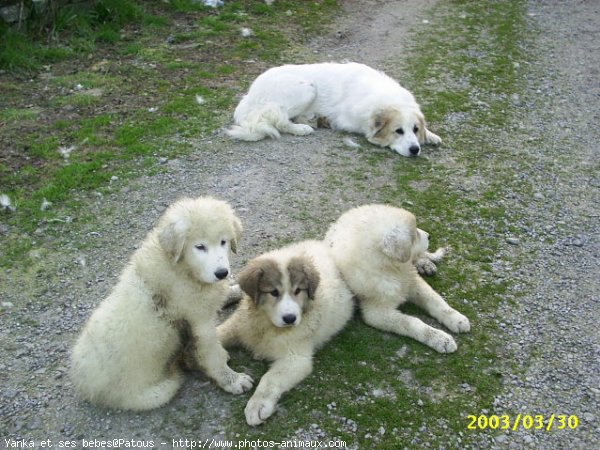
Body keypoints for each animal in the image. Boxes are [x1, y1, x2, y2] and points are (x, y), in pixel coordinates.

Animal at [69, 197, 253, 412]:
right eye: (200, 246)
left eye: (223, 241)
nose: (222, 273)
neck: (182, 268)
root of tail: (85, 387)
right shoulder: (199, 321)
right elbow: (211, 353)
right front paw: (232, 380)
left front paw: (237, 289)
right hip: (149, 395)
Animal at [217, 239, 354, 426]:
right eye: (274, 292)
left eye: (298, 291)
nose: (290, 318)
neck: (268, 324)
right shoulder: (240, 324)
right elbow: (216, 336)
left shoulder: (295, 358)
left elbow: (270, 378)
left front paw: (257, 405)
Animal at [225, 61, 440, 156]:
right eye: (398, 131)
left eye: (415, 129)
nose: (415, 149)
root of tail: (249, 94)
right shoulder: (349, 121)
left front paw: (430, 135)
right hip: (308, 88)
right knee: (281, 120)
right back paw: (302, 128)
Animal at [326, 205, 472, 356]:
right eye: (414, 234)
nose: (429, 236)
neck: (390, 269)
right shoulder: (376, 312)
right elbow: (411, 322)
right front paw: (441, 339)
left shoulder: (412, 281)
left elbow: (434, 300)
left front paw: (456, 319)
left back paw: (425, 264)